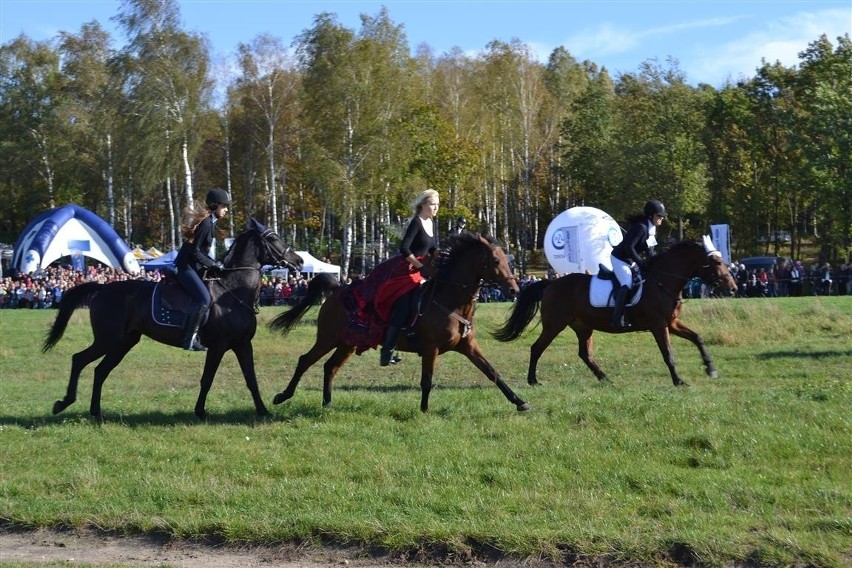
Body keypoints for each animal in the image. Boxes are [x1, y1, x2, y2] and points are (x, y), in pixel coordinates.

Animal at [43, 220, 304, 420]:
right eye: (273, 238)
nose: (299, 261)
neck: (232, 290)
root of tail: (101, 289)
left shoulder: (242, 344)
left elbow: (251, 379)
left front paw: (263, 411)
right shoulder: (218, 346)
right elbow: (207, 379)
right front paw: (200, 412)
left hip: (124, 342)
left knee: (100, 371)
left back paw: (95, 412)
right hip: (109, 339)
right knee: (79, 360)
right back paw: (64, 403)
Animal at [270, 232, 528, 412]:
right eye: (495, 260)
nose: (514, 290)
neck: (450, 301)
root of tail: (336, 291)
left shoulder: (467, 346)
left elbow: (492, 372)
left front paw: (519, 401)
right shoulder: (431, 349)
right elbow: (427, 381)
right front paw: (424, 410)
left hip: (348, 343)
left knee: (330, 367)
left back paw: (327, 404)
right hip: (328, 338)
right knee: (305, 361)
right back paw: (283, 396)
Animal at [492, 237, 740, 388]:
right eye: (716, 261)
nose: (733, 288)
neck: (664, 281)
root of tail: (551, 284)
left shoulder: (671, 323)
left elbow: (697, 338)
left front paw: (710, 369)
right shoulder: (659, 325)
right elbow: (668, 354)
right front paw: (679, 381)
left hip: (583, 326)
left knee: (585, 354)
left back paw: (605, 378)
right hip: (555, 324)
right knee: (537, 348)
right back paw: (533, 380)